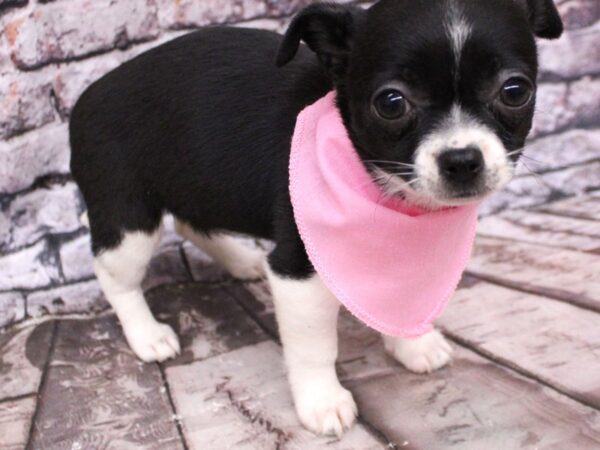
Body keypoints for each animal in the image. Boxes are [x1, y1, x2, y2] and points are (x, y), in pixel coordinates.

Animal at [70, 0, 564, 436]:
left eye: (515, 91)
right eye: (391, 103)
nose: (462, 159)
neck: (392, 200)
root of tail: (82, 100)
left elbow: (400, 302)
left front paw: (413, 344)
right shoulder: (298, 271)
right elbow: (314, 348)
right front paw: (322, 401)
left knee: (190, 222)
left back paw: (241, 261)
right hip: (128, 218)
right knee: (115, 275)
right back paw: (146, 335)